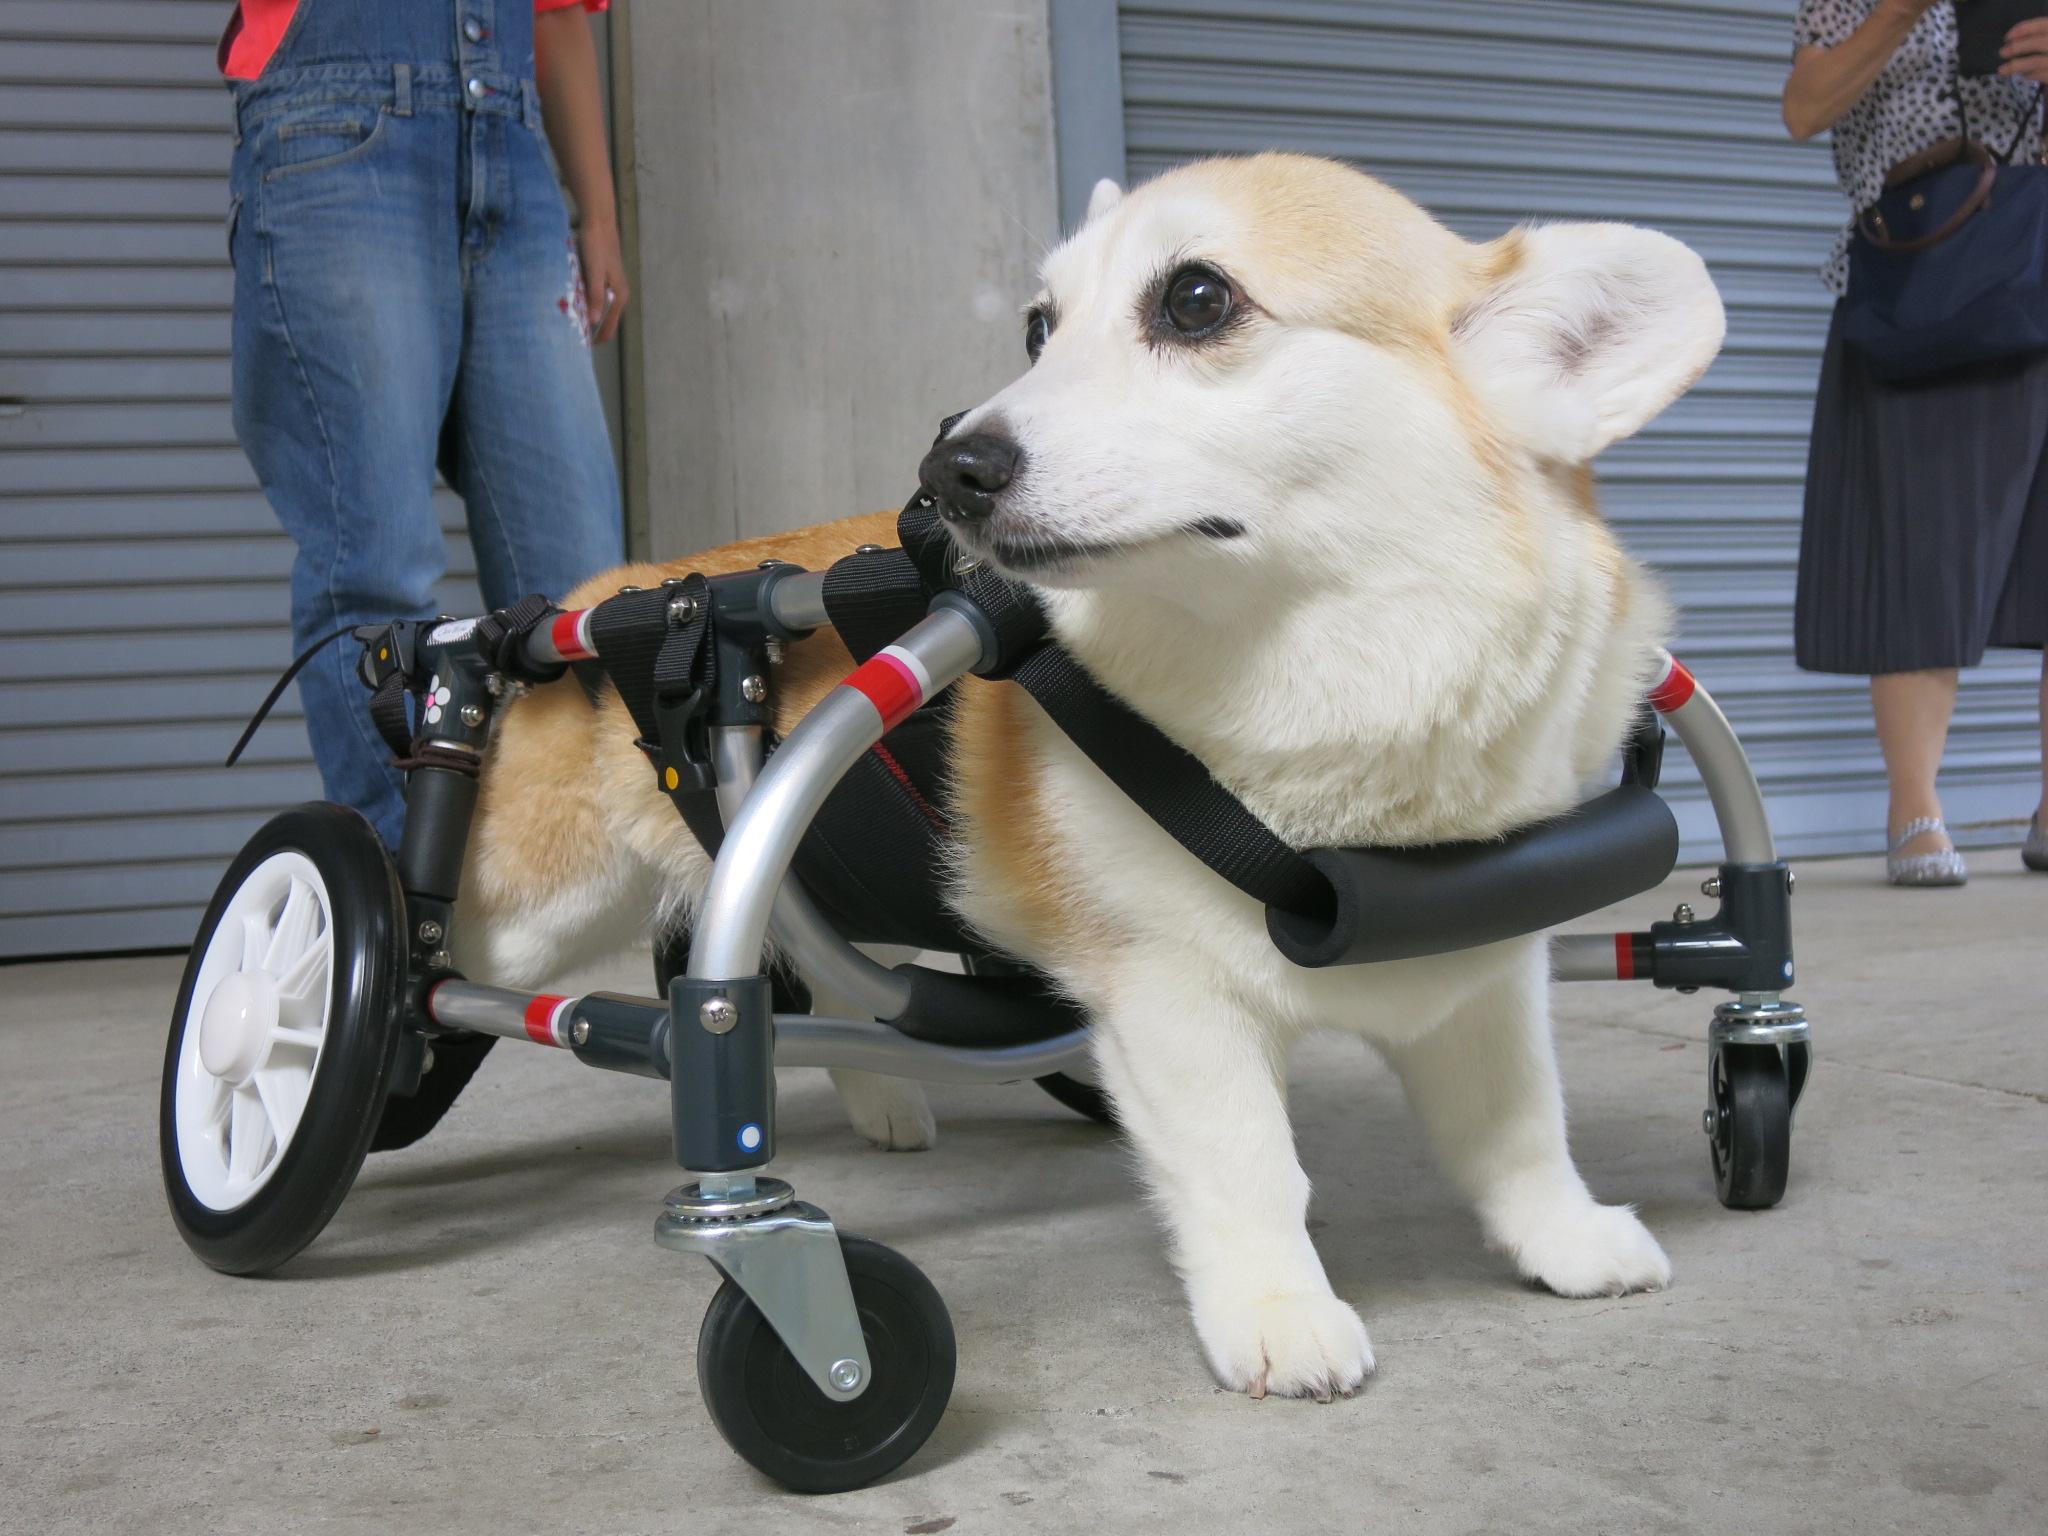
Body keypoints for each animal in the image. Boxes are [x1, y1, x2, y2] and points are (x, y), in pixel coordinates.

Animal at [456, 153, 1720, 1392]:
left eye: (1196, 298)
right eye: (1038, 327)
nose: (946, 468)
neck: (1329, 681)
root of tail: (612, 593)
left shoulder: (1484, 972)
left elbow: (1515, 1126)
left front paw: (1568, 1239)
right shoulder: (1171, 996)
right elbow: (1249, 1164)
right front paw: (1279, 1317)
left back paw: (882, 1101)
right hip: (536, 910)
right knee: (452, 967)